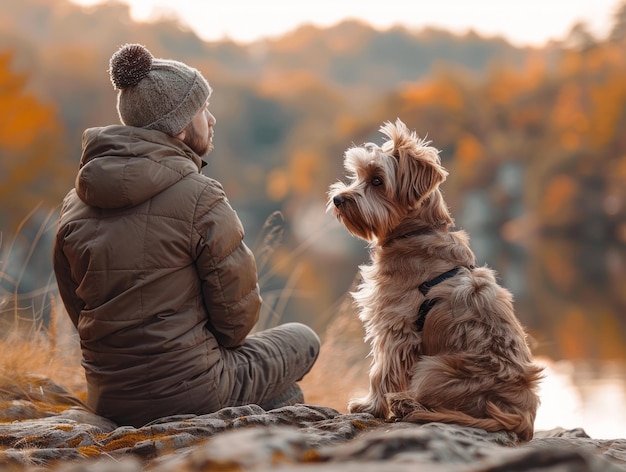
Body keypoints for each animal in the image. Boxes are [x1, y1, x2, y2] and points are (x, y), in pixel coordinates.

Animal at [326, 119, 540, 442]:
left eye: (377, 181)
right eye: (357, 175)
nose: (338, 198)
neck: (418, 232)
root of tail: (523, 418)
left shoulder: (395, 327)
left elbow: (381, 370)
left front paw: (370, 406)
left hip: (433, 368)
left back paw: (408, 405)